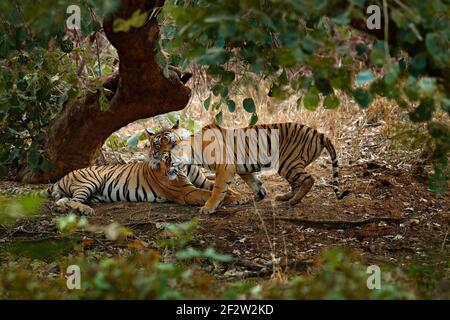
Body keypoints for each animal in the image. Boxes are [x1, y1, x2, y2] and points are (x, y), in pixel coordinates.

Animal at [47, 127, 248, 215]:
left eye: (171, 141)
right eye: (157, 145)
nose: (164, 155)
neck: (185, 165)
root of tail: (62, 178)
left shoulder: (203, 181)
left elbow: (220, 188)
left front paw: (240, 196)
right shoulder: (185, 192)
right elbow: (208, 194)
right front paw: (235, 199)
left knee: (65, 200)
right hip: (89, 181)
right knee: (74, 201)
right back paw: (86, 210)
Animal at [153, 121, 350, 214]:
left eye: (167, 159)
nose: (163, 173)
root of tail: (319, 133)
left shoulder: (225, 167)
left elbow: (218, 189)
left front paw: (208, 208)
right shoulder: (241, 168)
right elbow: (253, 181)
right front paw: (260, 194)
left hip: (288, 162)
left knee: (309, 179)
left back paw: (294, 201)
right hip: (289, 165)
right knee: (296, 183)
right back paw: (285, 197)